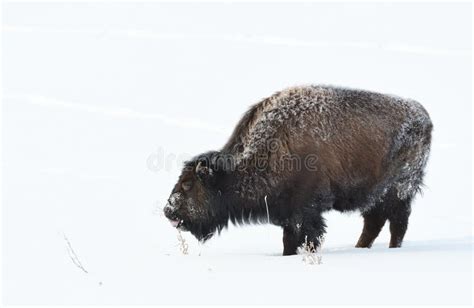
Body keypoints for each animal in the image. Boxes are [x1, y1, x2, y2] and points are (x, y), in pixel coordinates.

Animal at [164, 85, 434, 255]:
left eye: (188, 184)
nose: (168, 211)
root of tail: (424, 115)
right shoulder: (289, 216)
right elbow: (289, 241)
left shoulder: (305, 213)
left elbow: (303, 238)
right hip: (375, 196)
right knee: (375, 222)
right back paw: (360, 248)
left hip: (398, 190)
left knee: (396, 222)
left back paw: (391, 249)